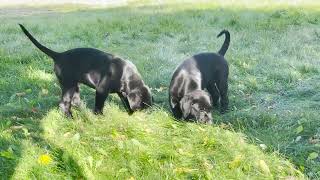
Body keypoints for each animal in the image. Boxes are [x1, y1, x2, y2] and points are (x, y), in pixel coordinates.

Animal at [19, 23, 152, 116]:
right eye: (143, 105)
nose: (148, 115)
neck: (125, 74)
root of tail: (59, 55)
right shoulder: (101, 90)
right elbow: (99, 106)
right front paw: (99, 117)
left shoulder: (121, 92)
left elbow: (125, 102)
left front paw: (129, 113)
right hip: (68, 84)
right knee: (64, 103)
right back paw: (70, 117)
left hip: (74, 85)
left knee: (75, 100)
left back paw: (82, 112)